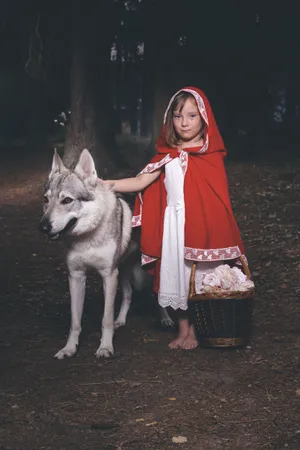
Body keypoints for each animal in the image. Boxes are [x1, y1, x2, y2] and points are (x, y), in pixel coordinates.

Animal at [38, 149, 173, 360]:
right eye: (46, 200)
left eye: (67, 200)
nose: (43, 227)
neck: (87, 238)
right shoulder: (76, 276)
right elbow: (75, 321)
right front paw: (69, 348)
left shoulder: (108, 276)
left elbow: (106, 319)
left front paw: (105, 347)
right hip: (123, 270)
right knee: (128, 294)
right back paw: (121, 320)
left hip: (146, 270)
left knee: (159, 296)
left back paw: (165, 319)